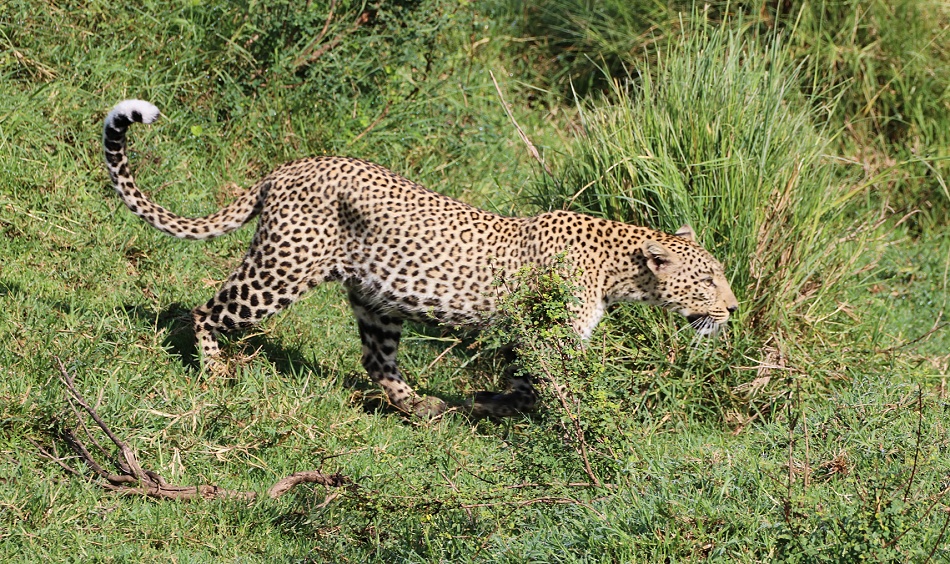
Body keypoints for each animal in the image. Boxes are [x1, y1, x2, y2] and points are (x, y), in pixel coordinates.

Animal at [103, 99, 739, 417]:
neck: (616, 270)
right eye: (708, 281)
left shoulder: (525, 335)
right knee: (207, 310)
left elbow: (523, 383)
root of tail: (287, 167)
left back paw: (420, 406)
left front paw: (489, 403)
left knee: (376, 362)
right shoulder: (547, 335)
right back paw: (214, 373)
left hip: (377, 299)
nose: (732, 311)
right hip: (282, 269)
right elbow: (555, 387)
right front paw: (578, 423)